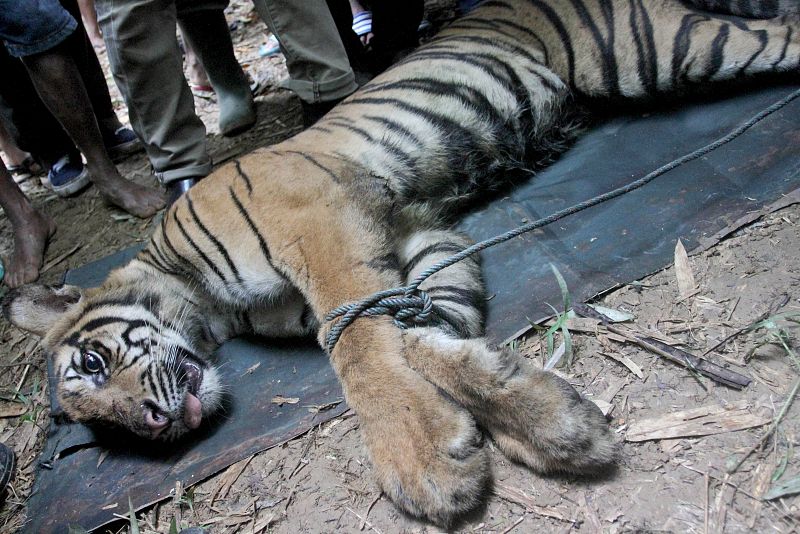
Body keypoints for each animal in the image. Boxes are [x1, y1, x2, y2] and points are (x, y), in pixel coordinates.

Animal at [3, 0, 796, 528]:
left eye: (93, 365)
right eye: (107, 432)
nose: (154, 424)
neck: (210, 307)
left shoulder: (319, 225)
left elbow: (358, 347)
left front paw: (417, 456)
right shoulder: (419, 242)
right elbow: (425, 336)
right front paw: (543, 420)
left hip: (668, 49)